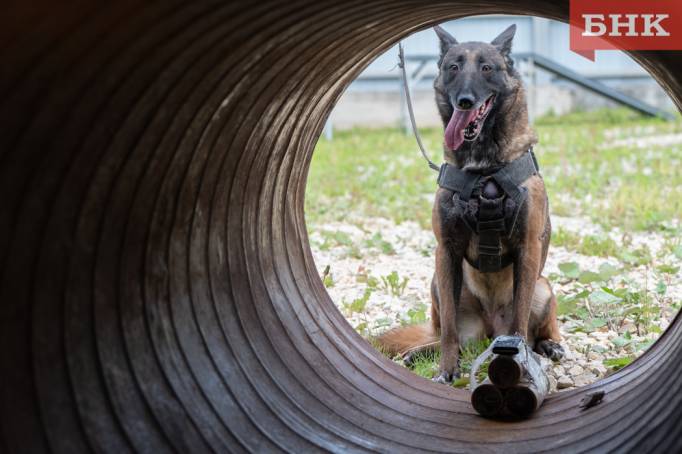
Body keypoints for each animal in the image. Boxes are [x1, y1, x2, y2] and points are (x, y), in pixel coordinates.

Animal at [378, 22, 564, 384]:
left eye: (487, 68)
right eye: (453, 67)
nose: (464, 101)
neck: (484, 169)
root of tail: (491, 328)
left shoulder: (528, 250)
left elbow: (520, 326)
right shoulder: (446, 251)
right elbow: (450, 330)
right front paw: (447, 370)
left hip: (543, 287)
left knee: (537, 331)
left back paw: (550, 346)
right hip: (438, 283)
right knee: (447, 335)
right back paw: (419, 353)